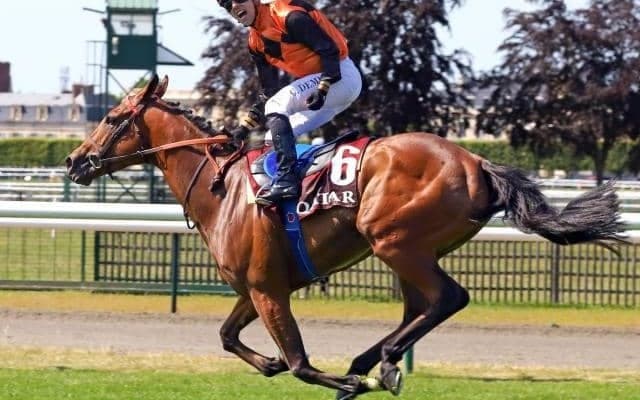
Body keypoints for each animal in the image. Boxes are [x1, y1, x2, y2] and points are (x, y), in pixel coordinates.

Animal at [66, 75, 625, 399]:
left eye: (112, 118)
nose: (74, 160)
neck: (221, 188)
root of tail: (477, 161)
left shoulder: (269, 290)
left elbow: (300, 364)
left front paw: (342, 380)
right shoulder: (257, 287)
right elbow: (228, 337)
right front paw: (272, 362)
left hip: (395, 241)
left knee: (448, 298)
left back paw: (377, 363)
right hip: (415, 251)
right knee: (421, 308)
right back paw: (379, 361)